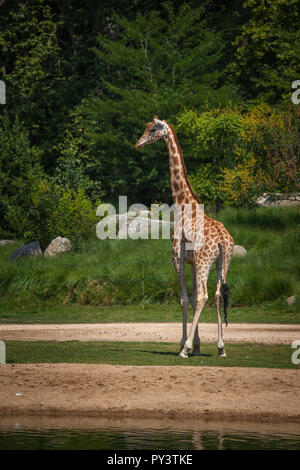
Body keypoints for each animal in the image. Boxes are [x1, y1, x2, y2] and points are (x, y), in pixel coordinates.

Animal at [135, 115, 234, 358]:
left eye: (152, 130)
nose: (138, 144)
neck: (183, 203)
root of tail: (222, 240)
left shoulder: (177, 258)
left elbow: (185, 298)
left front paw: (184, 344)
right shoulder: (191, 262)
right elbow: (193, 294)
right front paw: (197, 345)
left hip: (205, 262)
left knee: (205, 296)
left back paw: (186, 348)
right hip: (222, 263)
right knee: (217, 295)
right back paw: (221, 347)